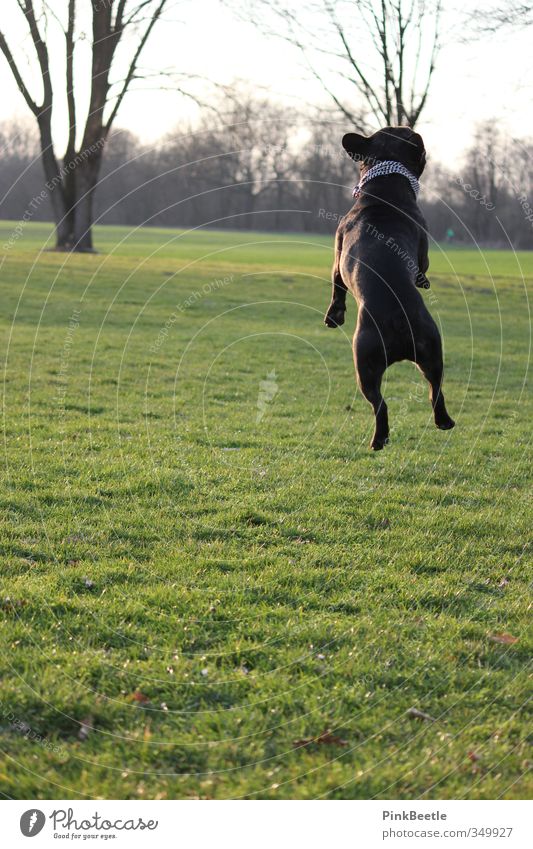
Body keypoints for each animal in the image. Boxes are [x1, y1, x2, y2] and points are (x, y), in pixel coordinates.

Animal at [324, 126, 454, 450]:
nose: (412, 130)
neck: (384, 185)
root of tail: (398, 317)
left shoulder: (337, 254)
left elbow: (337, 288)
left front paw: (334, 317)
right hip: (427, 353)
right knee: (433, 390)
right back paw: (440, 422)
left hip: (366, 363)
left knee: (382, 403)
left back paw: (380, 438)